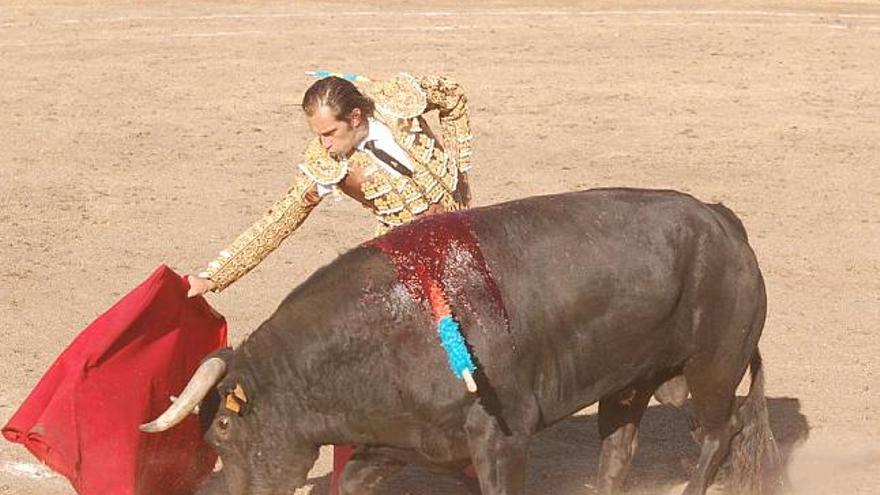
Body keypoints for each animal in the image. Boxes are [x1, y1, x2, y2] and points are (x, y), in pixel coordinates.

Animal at [141, 189, 780, 495]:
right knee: (620, 449)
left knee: (721, 433)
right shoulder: (406, 442)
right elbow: (353, 481)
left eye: (223, 430)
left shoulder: (502, 438)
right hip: (631, 382)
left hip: (713, 367)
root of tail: (723, 220)